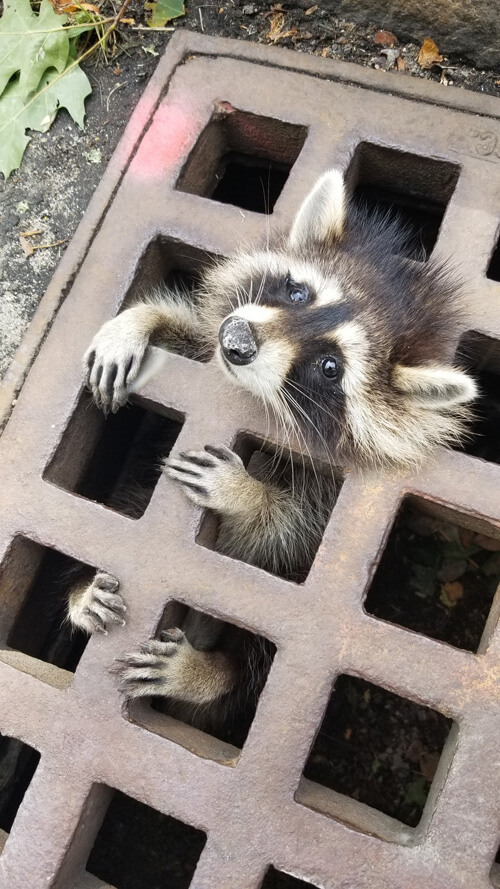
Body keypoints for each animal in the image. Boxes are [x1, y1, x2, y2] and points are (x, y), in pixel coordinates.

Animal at [67, 170, 476, 740]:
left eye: (330, 367)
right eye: (297, 290)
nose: (236, 340)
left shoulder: (326, 498)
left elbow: (287, 531)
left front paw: (247, 493)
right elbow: (187, 331)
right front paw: (138, 321)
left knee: (250, 666)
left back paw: (207, 674)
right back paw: (83, 593)